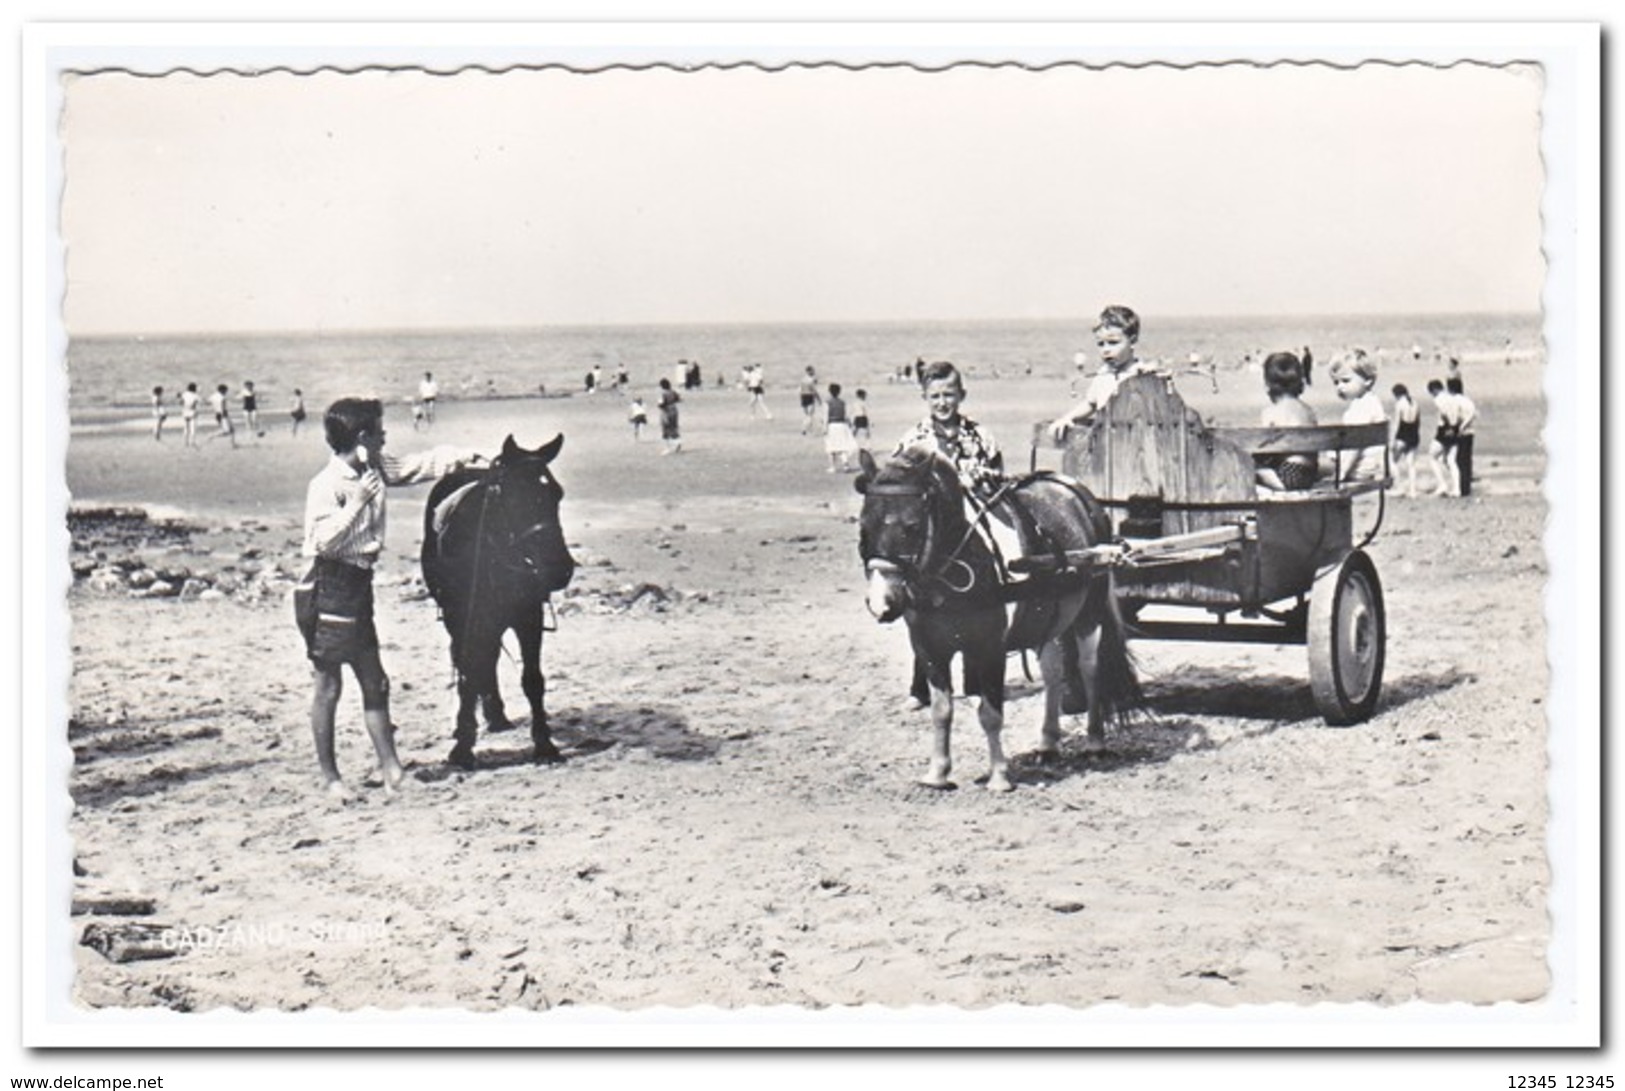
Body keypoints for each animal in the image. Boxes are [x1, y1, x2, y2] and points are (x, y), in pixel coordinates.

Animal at [422, 435, 575, 767]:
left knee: (488, 658)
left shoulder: (528, 617)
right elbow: (468, 674)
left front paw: (544, 743)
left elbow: (532, 679)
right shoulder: (462, 619)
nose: (560, 568)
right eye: (515, 498)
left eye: (557, 494)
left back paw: (496, 715)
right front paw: (462, 746)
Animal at [858, 445, 1137, 793]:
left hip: (1090, 614)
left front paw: (999, 777)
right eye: (863, 527)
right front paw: (937, 774)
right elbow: (941, 710)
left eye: (911, 527)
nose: (881, 603)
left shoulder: (989, 648)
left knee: (1089, 669)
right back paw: (1048, 744)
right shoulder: (928, 648)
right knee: (1053, 673)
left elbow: (990, 714)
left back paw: (1095, 742)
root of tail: (1073, 488)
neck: (952, 569)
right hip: (1048, 620)